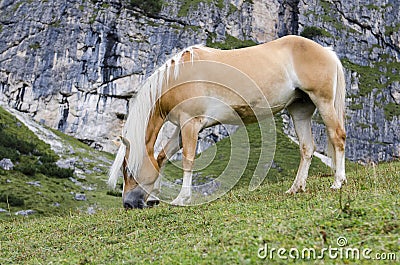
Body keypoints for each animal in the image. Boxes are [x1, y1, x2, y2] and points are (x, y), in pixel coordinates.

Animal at [108, 34, 346, 208]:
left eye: (128, 170)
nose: (128, 204)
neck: (176, 77)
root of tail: (327, 52)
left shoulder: (190, 123)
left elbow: (187, 160)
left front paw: (181, 199)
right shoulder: (181, 129)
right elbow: (162, 157)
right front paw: (155, 196)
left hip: (323, 102)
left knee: (338, 137)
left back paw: (337, 182)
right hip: (300, 110)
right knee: (307, 148)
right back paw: (296, 188)